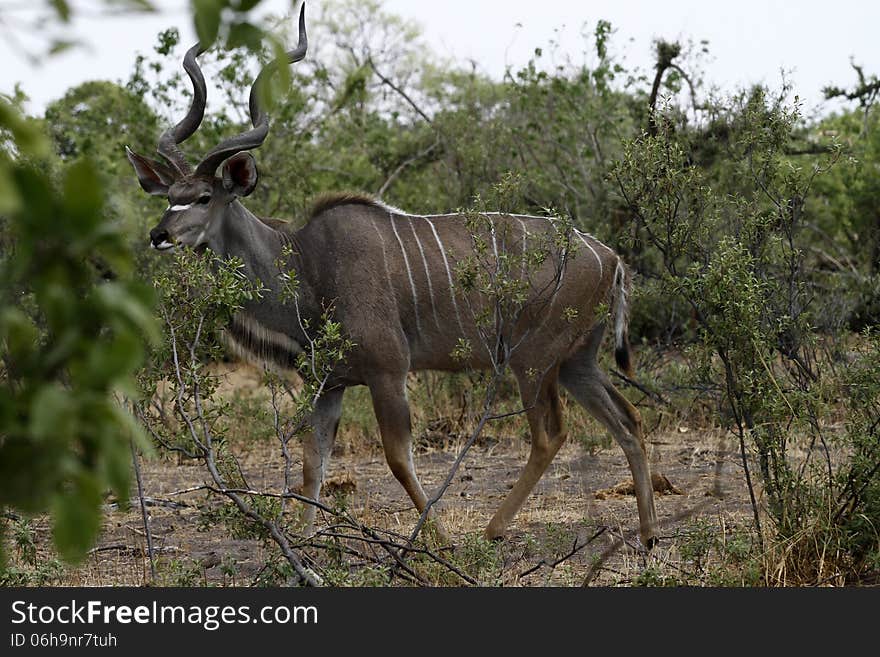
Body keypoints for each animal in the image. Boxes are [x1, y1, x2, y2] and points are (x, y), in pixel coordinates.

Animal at [125, 3, 660, 548]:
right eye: (169, 196)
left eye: (203, 197)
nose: (158, 234)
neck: (306, 265)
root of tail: (612, 259)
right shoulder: (329, 384)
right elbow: (313, 464)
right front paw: (302, 543)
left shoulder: (388, 371)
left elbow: (398, 458)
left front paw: (437, 538)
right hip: (576, 361)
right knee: (630, 419)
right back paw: (647, 534)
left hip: (531, 359)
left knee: (551, 434)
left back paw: (493, 530)